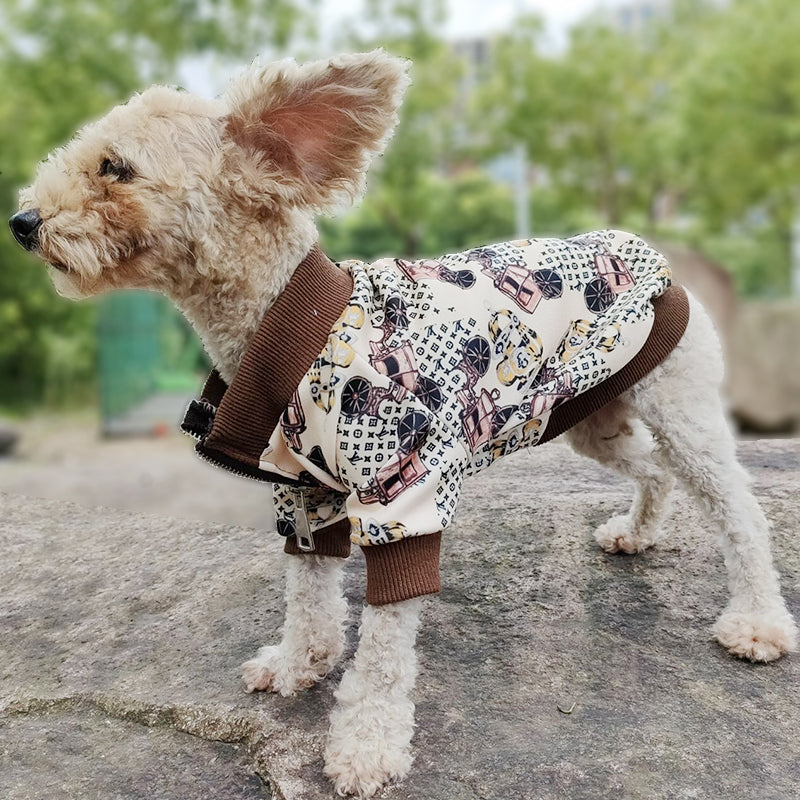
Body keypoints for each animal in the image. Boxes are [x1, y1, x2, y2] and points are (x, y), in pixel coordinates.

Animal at [10, 48, 792, 792]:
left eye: (115, 166)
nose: (21, 223)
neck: (293, 327)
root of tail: (649, 253)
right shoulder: (305, 492)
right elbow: (308, 590)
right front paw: (299, 663)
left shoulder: (402, 490)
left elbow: (384, 647)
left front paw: (365, 746)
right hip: (588, 417)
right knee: (654, 471)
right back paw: (636, 532)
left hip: (681, 404)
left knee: (737, 508)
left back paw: (757, 623)